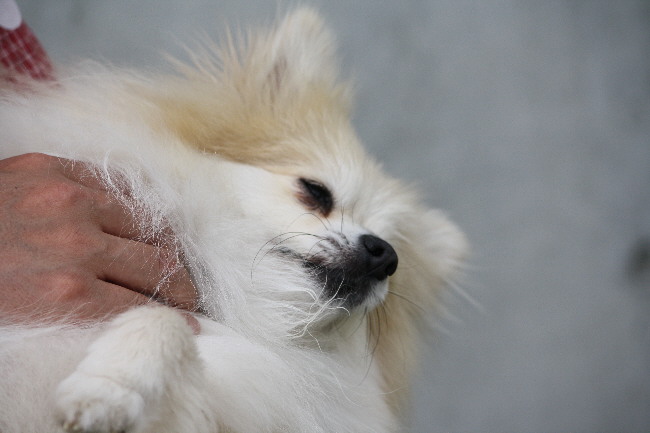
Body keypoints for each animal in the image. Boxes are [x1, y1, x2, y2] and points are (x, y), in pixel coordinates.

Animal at [0, 8, 466, 433]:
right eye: (316, 192)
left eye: (394, 253)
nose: (383, 254)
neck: (236, 310)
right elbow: (167, 320)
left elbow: (168, 324)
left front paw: (107, 390)